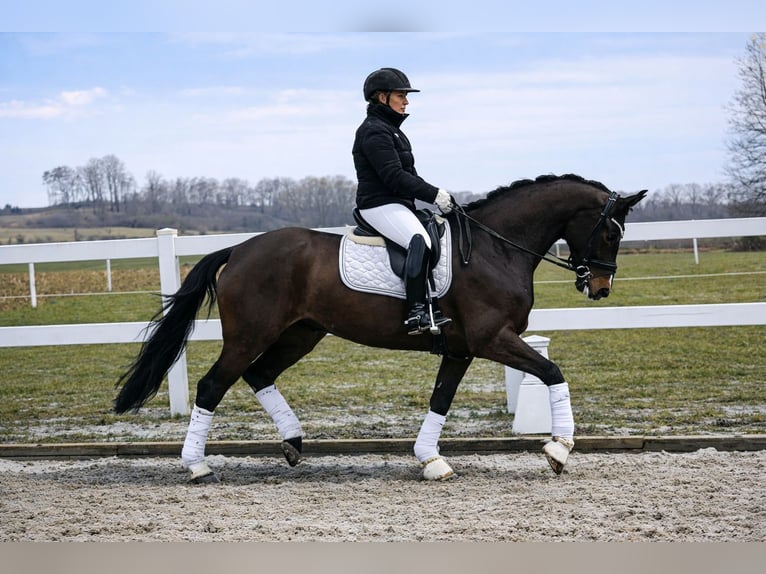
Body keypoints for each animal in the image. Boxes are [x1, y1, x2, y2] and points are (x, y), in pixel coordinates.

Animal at [114, 174, 647, 482]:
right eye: (609, 231)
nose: (600, 287)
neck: (496, 249)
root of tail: (239, 249)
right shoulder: (493, 339)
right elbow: (553, 373)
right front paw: (558, 450)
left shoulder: (461, 349)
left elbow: (441, 400)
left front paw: (431, 460)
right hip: (250, 335)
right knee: (212, 385)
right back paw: (197, 465)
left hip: (300, 333)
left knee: (259, 375)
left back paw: (293, 443)